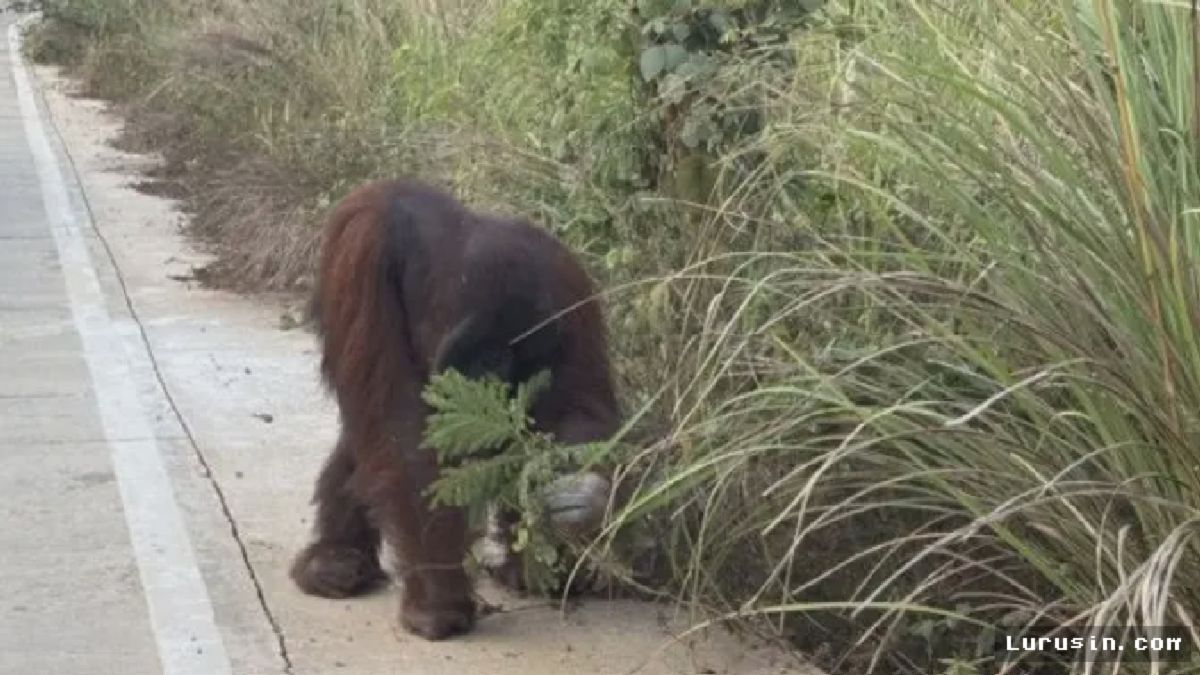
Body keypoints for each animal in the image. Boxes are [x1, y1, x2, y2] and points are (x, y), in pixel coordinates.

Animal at [289, 178, 621, 641]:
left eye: (512, 359)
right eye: (480, 356)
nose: (492, 389)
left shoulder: (567, 281)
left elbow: (579, 405)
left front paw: (579, 493)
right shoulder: (362, 251)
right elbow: (398, 429)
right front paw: (436, 605)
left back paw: (528, 574)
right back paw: (334, 559)